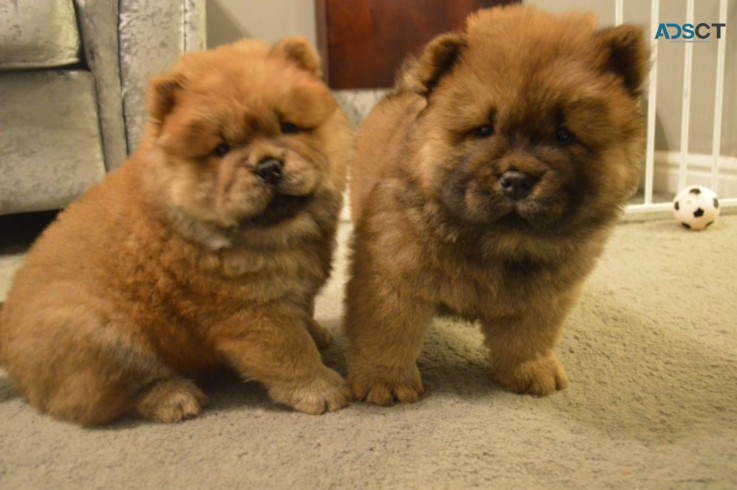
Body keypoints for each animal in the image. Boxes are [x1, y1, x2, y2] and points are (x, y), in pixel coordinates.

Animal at [0, 37, 354, 424]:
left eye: (288, 127)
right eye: (221, 149)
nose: (268, 167)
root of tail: (7, 326)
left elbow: (304, 311)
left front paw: (317, 332)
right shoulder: (251, 311)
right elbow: (290, 350)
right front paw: (322, 388)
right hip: (104, 335)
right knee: (123, 391)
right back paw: (174, 397)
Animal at [344, 4, 644, 406]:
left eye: (563, 135)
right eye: (484, 130)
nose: (516, 180)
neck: (497, 247)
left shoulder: (546, 294)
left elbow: (530, 338)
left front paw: (531, 373)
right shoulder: (392, 276)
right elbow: (388, 332)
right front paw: (385, 383)